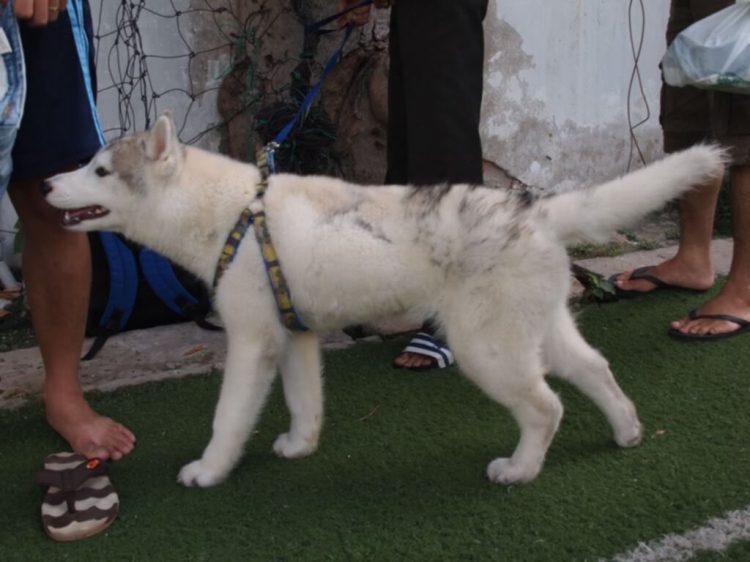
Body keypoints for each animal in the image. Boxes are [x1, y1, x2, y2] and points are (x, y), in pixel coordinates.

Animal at [44, 114, 724, 486]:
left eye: (100, 171)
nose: (47, 183)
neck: (233, 212)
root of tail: (535, 211)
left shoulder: (252, 341)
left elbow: (228, 419)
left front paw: (209, 472)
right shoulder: (295, 336)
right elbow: (305, 403)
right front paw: (300, 447)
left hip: (487, 349)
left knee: (545, 407)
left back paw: (520, 469)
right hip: (536, 329)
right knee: (595, 370)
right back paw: (627, 432)